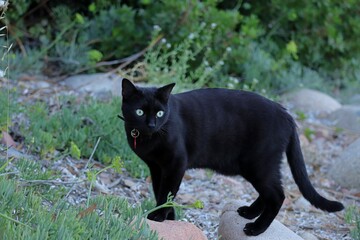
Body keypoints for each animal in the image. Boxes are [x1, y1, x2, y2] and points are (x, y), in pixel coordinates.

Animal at [120, 79, 344, 236]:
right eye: (140, 112)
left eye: (159, 113)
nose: (151, 124)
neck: (149, 138)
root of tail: (286, 114)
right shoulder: (157, 168)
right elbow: (161, 192)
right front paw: (170, 218)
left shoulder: (175, 164)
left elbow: (167, 192)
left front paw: (158, 216)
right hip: (260, 166)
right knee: (270, 191)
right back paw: (249, 212)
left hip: (258, 164)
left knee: (277, 195)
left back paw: (255, 228)